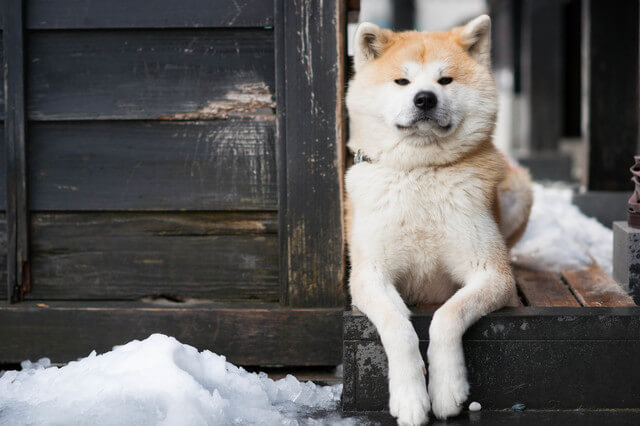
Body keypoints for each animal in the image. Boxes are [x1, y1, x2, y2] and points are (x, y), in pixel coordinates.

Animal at [344, 15, 536, 424]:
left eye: (444, 80)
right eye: (402, 81)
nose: (425, 98)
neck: (421, 171)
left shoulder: (491, 274)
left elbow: (447, 316)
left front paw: (447, 389)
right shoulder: (369, 275)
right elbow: (398, 326)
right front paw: (410, 398)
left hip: (519, 188)